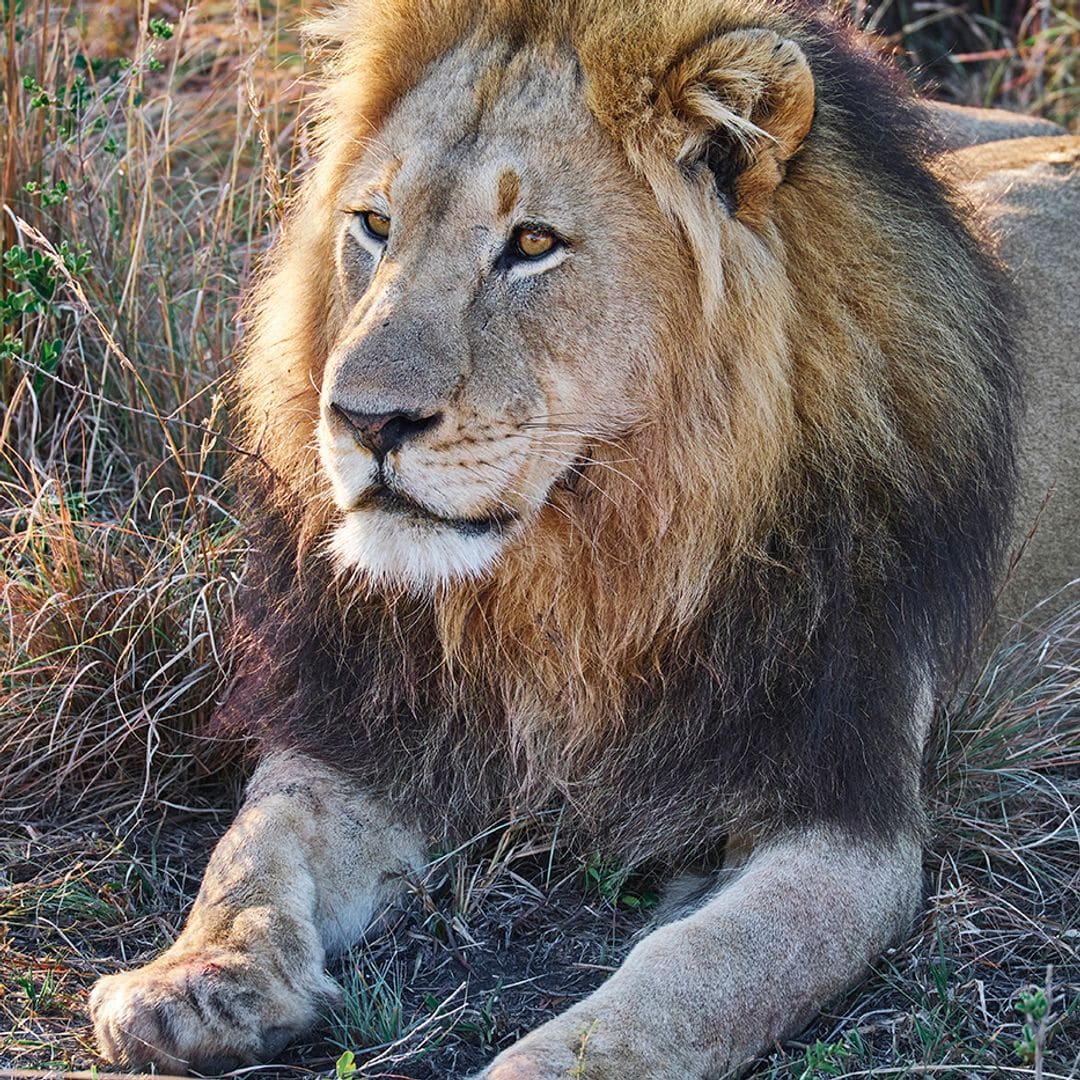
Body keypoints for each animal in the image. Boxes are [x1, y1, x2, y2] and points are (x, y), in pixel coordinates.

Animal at [86, 4, 1080, 1075]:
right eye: (375, 226)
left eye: (532, 243)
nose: (359, 418)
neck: (583, 576)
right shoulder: (367, 727)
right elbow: (257, 841)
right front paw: (197, 979)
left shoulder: (846, 817)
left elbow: (699, 967)